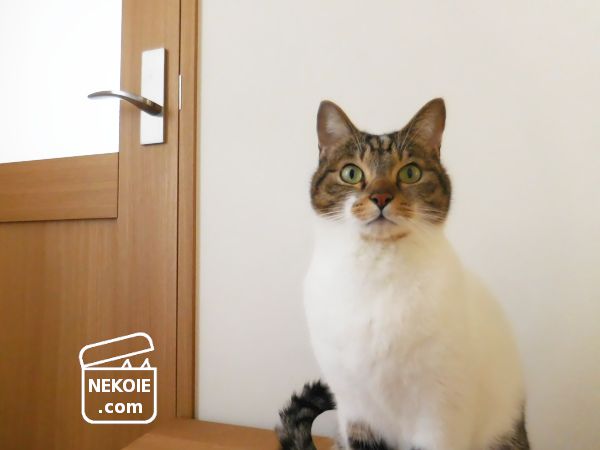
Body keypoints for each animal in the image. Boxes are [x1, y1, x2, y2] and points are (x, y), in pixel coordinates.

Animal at [277, 99, 529, 450]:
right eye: (351, 173)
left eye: (410, 172)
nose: (381, 197)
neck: (377, 269)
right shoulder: (357, 412)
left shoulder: (439, 415)